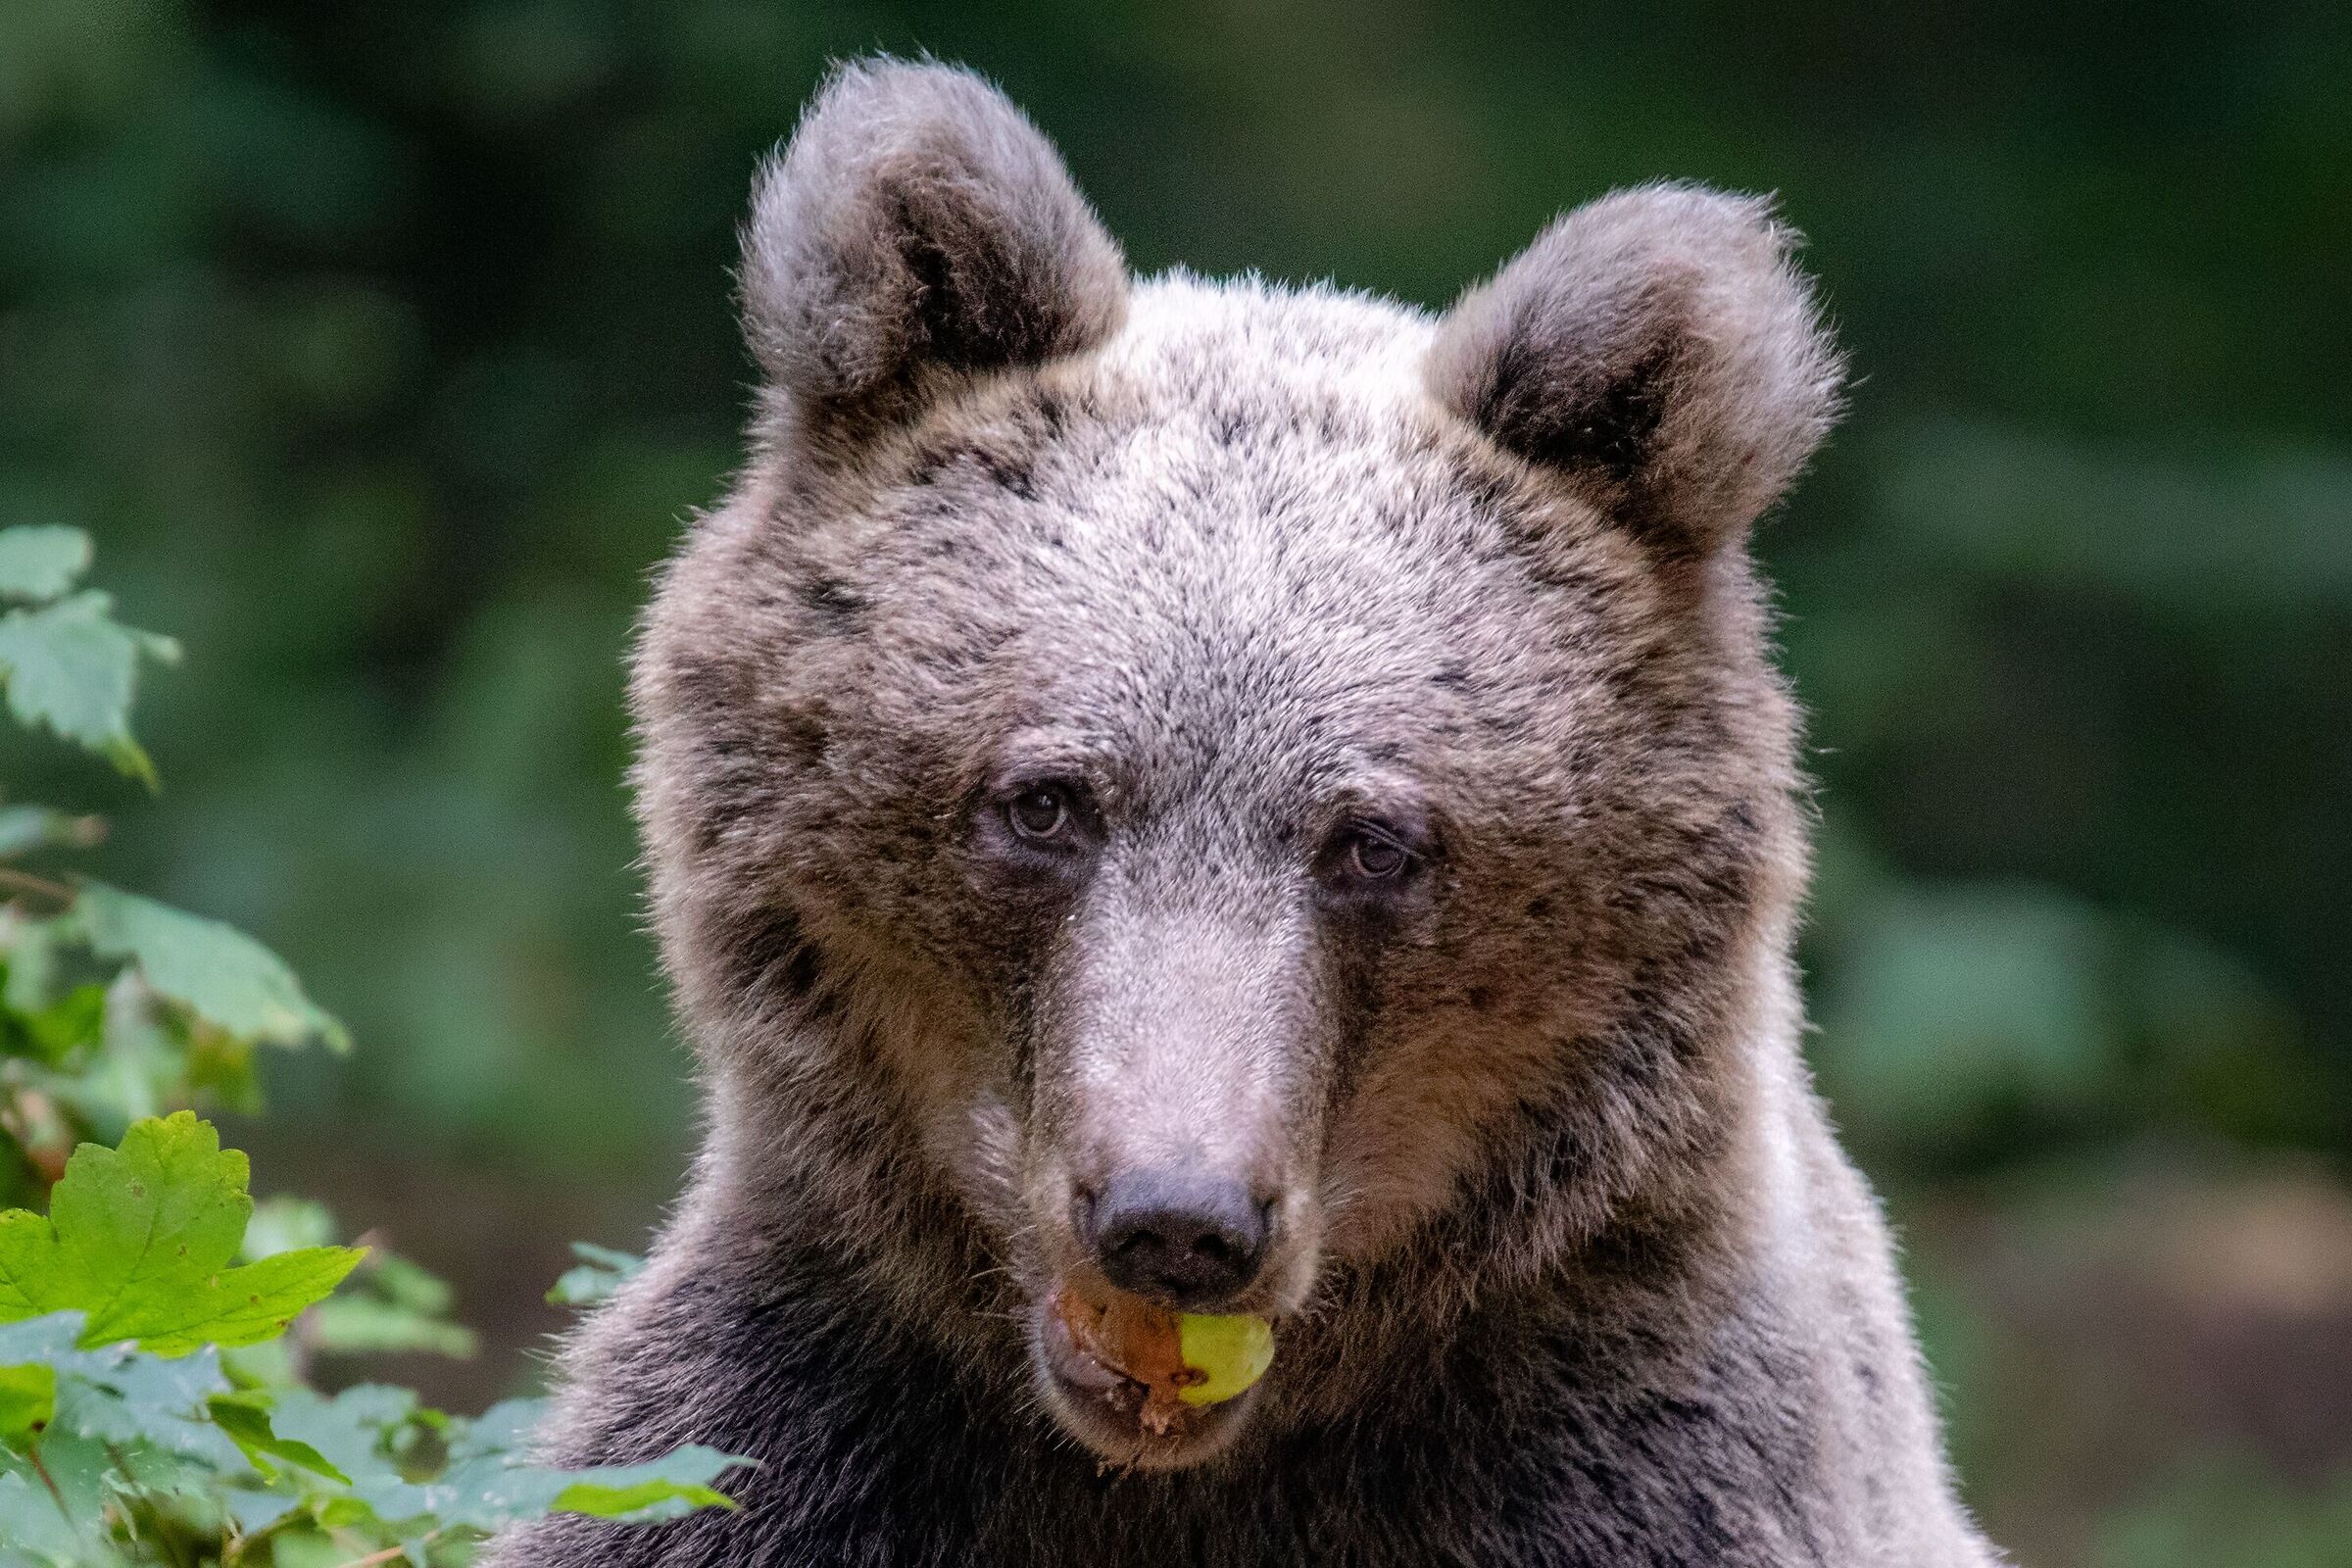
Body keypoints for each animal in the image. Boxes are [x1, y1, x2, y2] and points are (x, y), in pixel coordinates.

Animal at [488, 58, 2003, 1568]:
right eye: (1045, 803)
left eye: (1374, 843)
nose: (1176, 1216)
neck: (1183, 1467)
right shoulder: (795, 1426)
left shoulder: (1627, 1458)